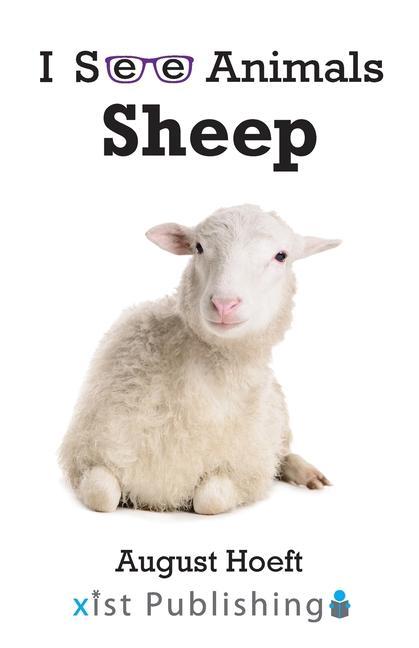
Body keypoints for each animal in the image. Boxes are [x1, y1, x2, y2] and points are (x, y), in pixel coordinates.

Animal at [59, 204, 340, 515]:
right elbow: (102, 495)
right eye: (199, 247)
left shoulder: (243, 469)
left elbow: (211, 500)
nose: (224, 304)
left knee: (282, 454)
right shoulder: (91, 452)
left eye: (281, 256)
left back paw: (307, 473)